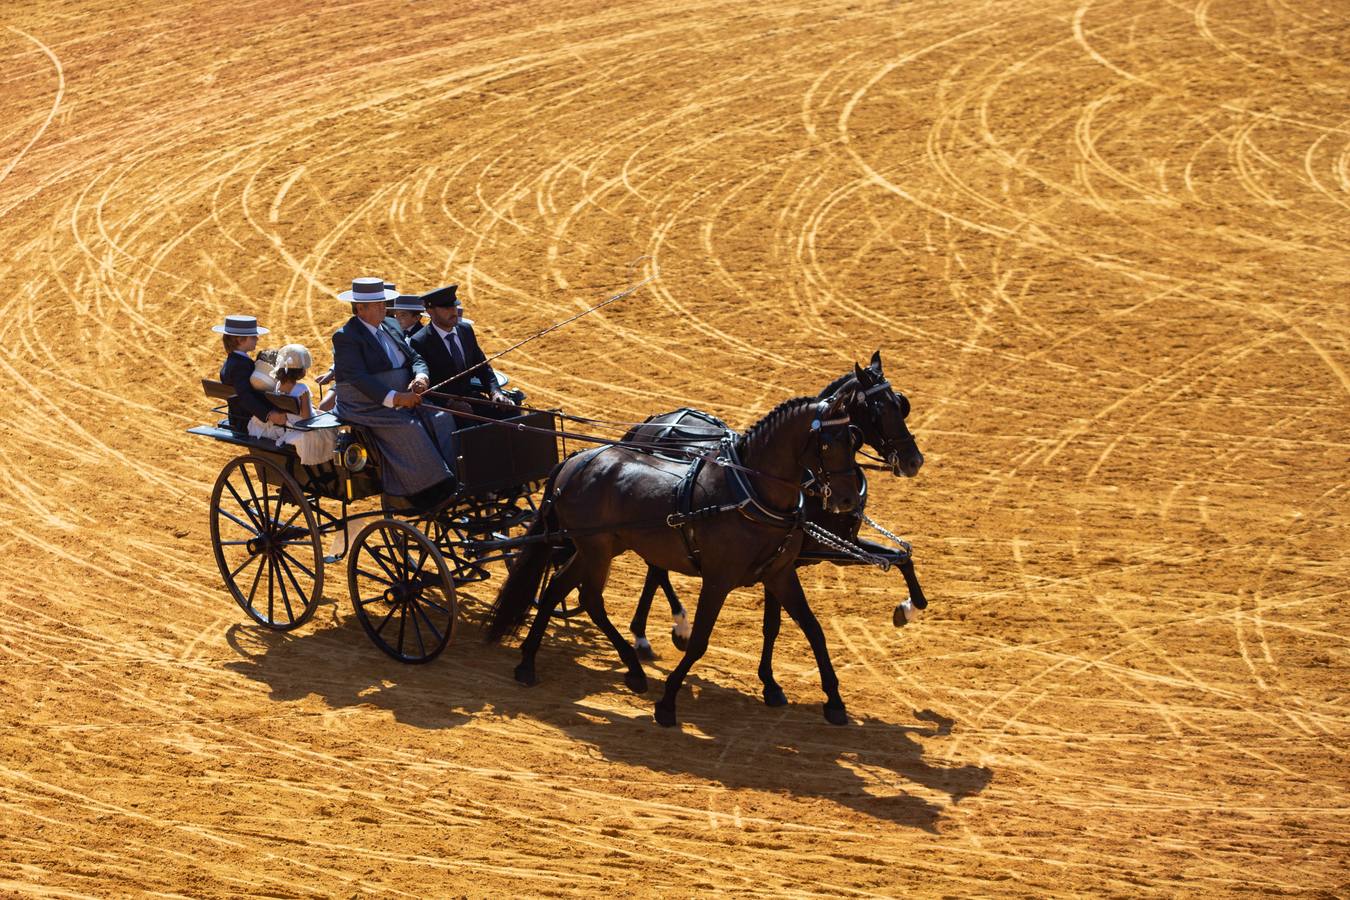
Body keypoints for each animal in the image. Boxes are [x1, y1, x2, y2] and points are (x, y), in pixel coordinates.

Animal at [491, 391, 858, 723]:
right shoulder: (718, 578)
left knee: (557, 587)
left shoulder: (779, 573)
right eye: (828, 444)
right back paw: (624, 665)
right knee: (590, 598)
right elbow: (699, 642)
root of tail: (578, 459)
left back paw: (531, 663)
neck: (749, 493)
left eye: (853, 439)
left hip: (598, 547)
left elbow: (813, 629)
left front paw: (834, 701)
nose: (848, 500)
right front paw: (667, 703)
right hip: (596, 549)